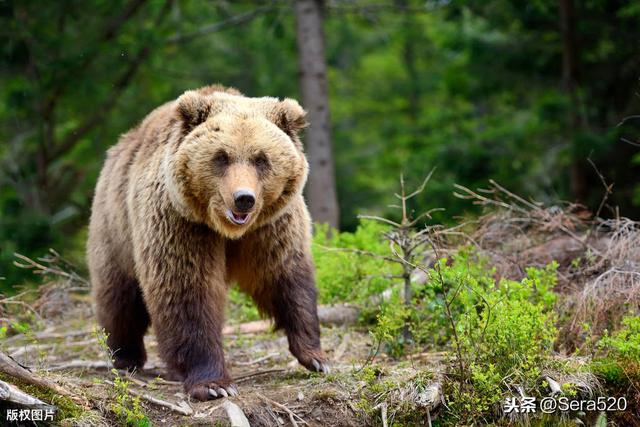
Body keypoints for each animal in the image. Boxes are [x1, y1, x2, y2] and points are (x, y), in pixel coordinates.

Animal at [87, 85, 328, 401]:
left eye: (261, 158)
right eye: (221, 157)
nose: (243, 198)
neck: (227, 231)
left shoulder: (270, 228)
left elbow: (285, 276)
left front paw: (315, 355)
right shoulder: (181, 224)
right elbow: (187, 290)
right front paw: (214, 384)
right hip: (115, 226)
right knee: (119, 296)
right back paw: (125, 357)